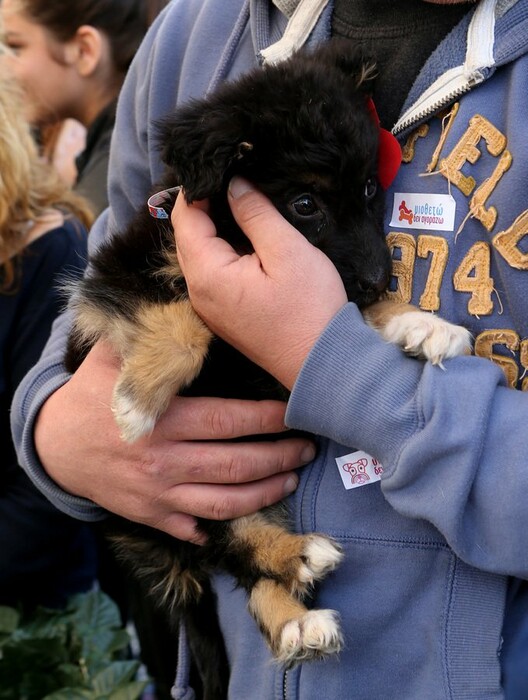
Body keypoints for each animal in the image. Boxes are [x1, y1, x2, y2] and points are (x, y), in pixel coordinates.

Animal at [66, 39, 470, 700]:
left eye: (369, 189)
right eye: (304, 205)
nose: (377, 278)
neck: (240, 238)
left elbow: (341, 304)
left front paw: (421, 323)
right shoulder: (121, 276)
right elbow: (187, 318)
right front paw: (135, 404)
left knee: (239, 558)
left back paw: (298, 604)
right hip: (175, 503)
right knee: (231, 542)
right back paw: (299, 567)